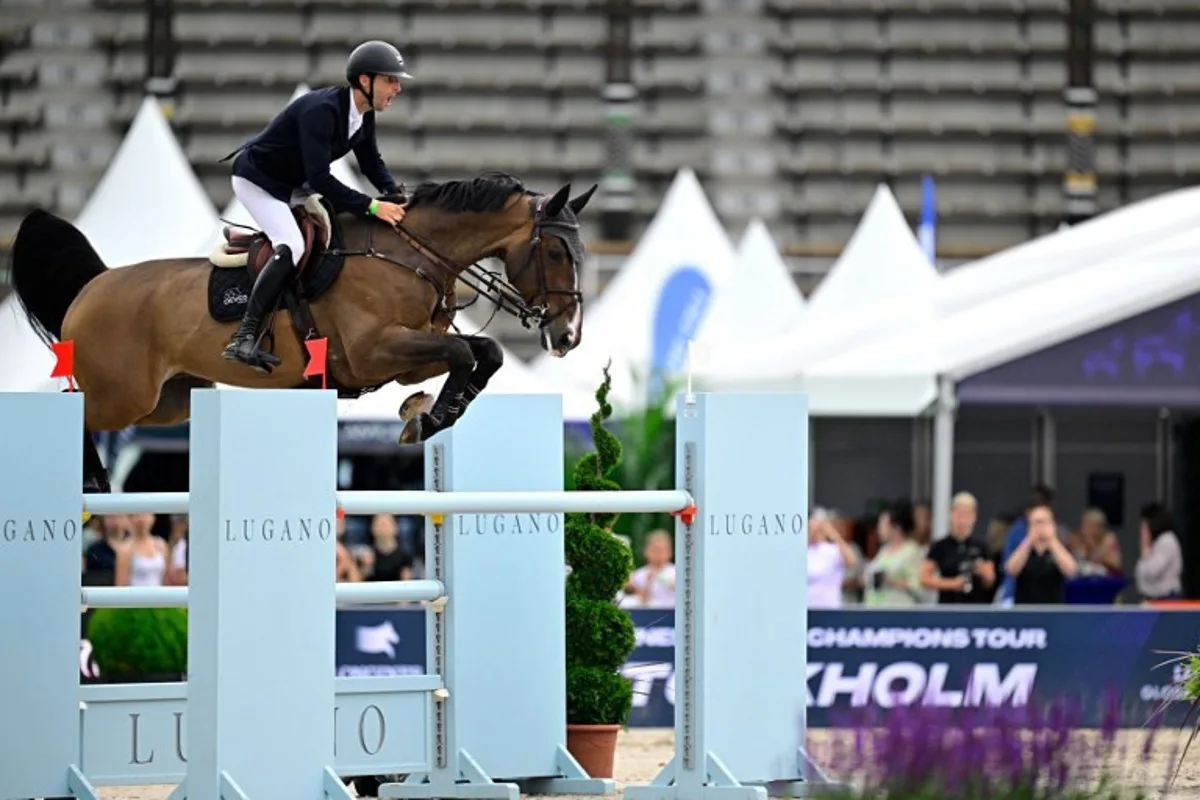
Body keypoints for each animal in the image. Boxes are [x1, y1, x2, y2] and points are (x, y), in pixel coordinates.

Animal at [9, 172, 590, 491]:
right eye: (556, 253)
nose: (567, 337)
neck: (410, 256)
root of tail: (93, 286)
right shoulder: (374, 350)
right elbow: (464, 353)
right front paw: (426, 420)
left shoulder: (404, 357)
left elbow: (482, 351)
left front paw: (424, 413)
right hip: (121, 397)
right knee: (74, 412)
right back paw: (92, 479)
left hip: (165, 403)